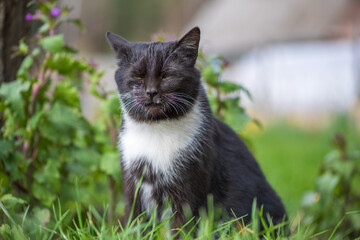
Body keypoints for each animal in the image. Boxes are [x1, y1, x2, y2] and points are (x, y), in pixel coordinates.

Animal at [105, 26, 286, 231]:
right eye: (137, 76)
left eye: (167, 75)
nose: (151, 92)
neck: (157, 130)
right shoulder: (132, 182)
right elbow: (136, 222)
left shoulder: (188, 186)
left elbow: (182, 226)